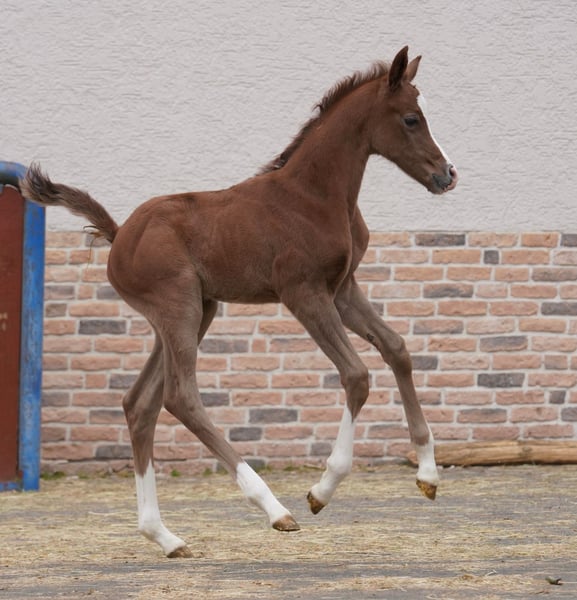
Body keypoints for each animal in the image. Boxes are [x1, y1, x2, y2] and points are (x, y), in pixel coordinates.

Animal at [22, 46, 458, 558]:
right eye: (411, 119)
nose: (447, 175)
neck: (315, 196)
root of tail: (119, 234)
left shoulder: (343, 289)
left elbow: (397, 350)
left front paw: (428, 475)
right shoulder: (303, 293)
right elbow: (356, 375)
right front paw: (321, 490)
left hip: (195, 312)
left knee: (140, 404)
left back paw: (164, 536)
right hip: (179, 308)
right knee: (180, 397)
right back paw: (272, 507)